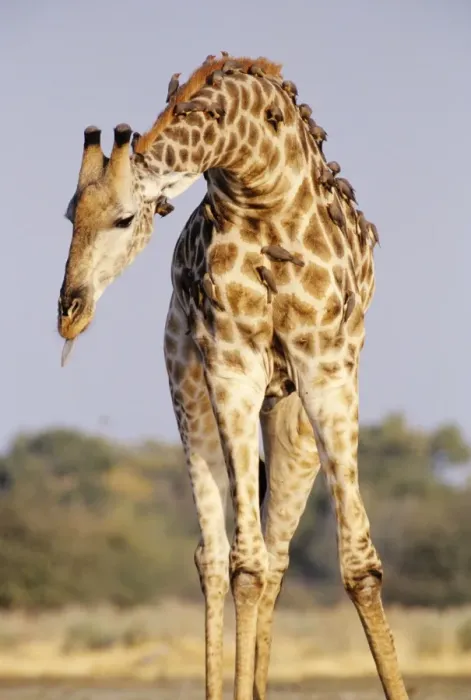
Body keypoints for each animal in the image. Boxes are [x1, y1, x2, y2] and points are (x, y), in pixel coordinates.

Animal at [57, 54, 408, 700]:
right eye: (71, 214)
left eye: (123, 218)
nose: (70, 311)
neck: (257, 175)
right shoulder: (231, 364)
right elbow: (244, 564)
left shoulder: (326, 365)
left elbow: (359, 566)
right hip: (187, 387)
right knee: (219, 555)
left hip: (293, 424)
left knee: (277, 554)